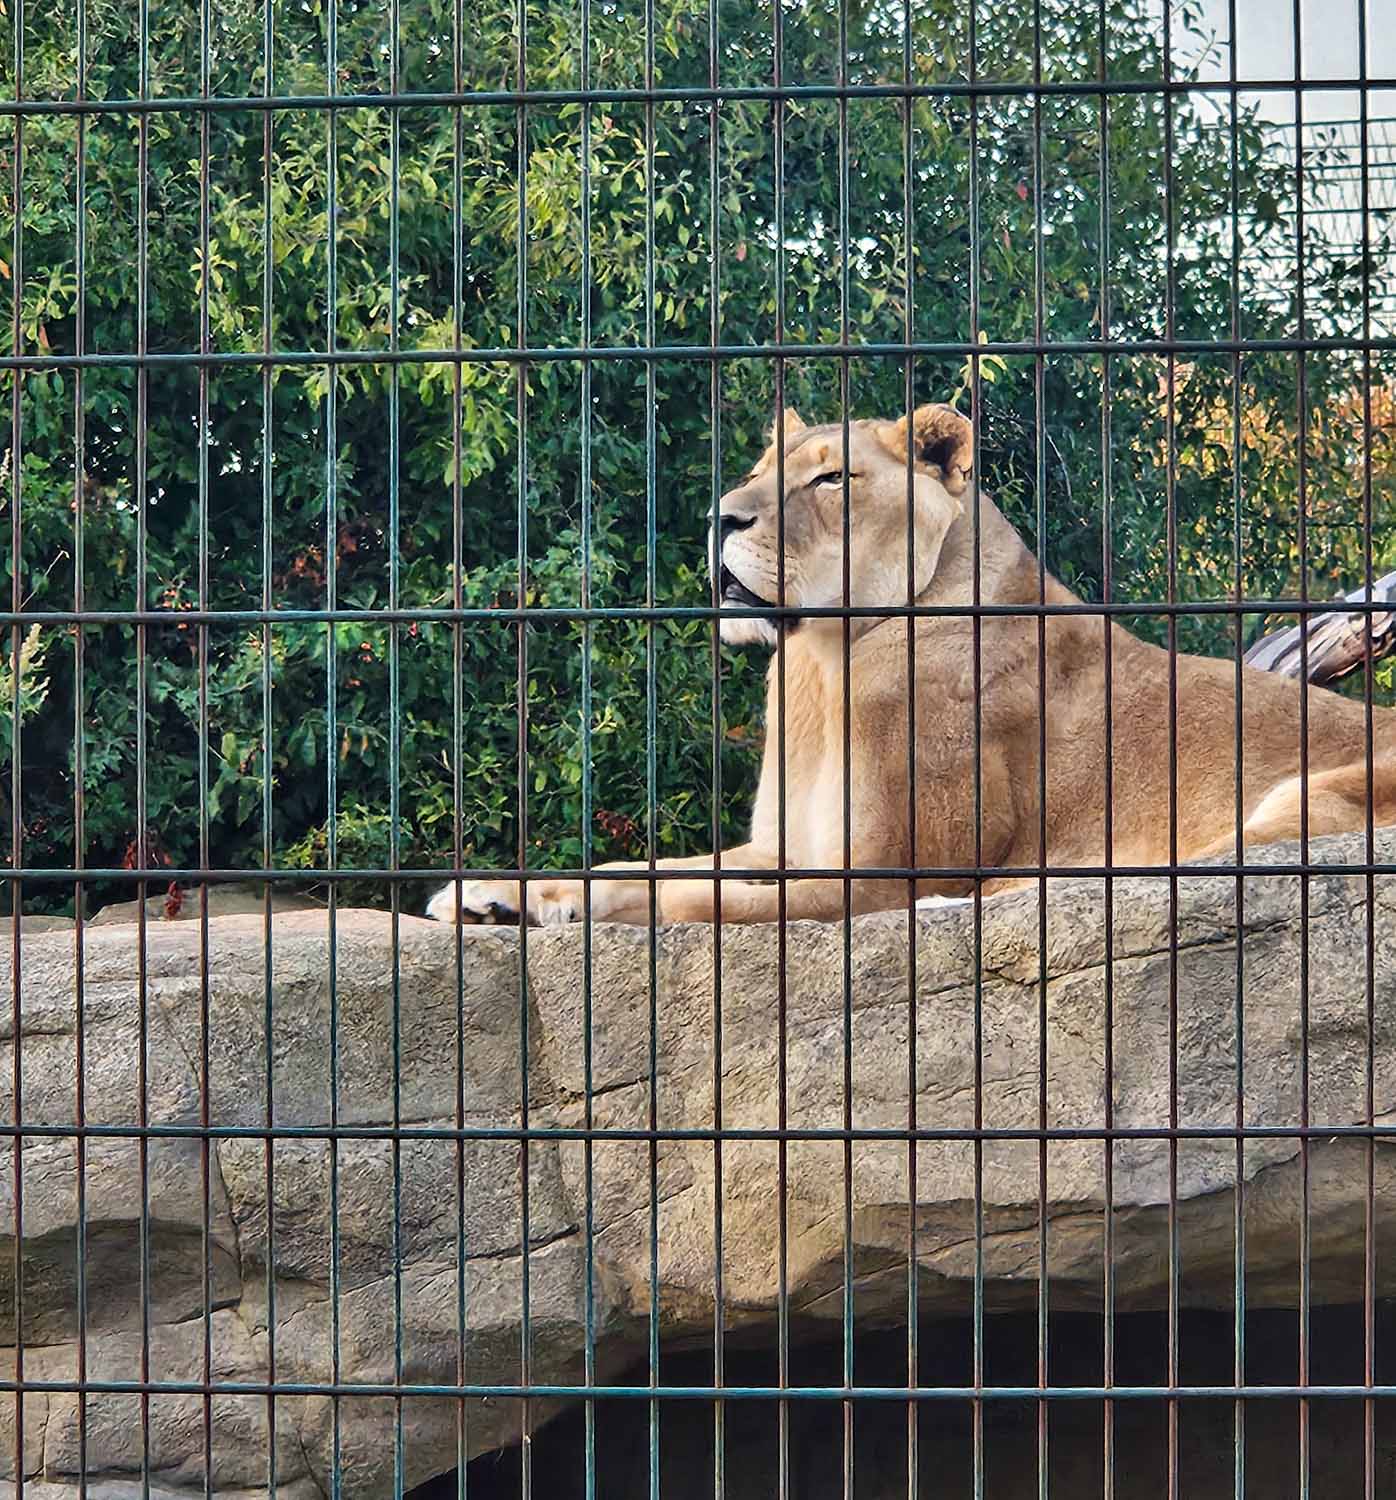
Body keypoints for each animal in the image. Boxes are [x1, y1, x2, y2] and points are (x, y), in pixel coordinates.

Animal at [427, 402, 1396, 927]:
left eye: (831, 480)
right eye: (758, 468)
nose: (720, 517)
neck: (822, 665)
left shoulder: (887, 865)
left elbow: (702, 901)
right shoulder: (783, 843)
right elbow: (639, 871)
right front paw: (496, 894)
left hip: (1310, 800)